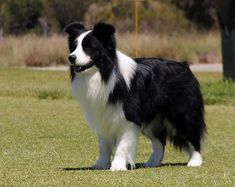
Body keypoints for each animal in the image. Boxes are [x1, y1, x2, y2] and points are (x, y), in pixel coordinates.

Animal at [64, 21, 206, 171]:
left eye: (89, 47)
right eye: (74, 47)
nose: (71, 57)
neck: (104, 73)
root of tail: (185, 66)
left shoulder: (128, 117)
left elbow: (122, 144)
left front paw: (117, 166)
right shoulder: (103, 115)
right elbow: (103, 145)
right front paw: (101, 164)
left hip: (182, 113)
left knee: (192, 135)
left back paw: (195, 161)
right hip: (152, 119)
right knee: (160, 142)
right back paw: (153, 163)